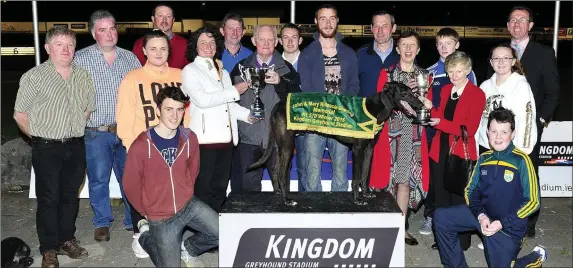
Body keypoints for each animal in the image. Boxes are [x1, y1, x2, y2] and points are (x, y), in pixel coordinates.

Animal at [247, 81, 424, 205]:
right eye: (404, 93)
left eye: (412, 92)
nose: (422, 104)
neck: (375, 108)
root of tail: (278, 104)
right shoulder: (358, 150)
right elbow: (356, 178)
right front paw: (357, 199)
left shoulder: (369, 149)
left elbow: (365, 175)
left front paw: (366, 193)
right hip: (288, 145)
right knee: (282, 173)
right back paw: (287, 199)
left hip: (280, 145)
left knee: (275, 169)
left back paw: (277, 192)